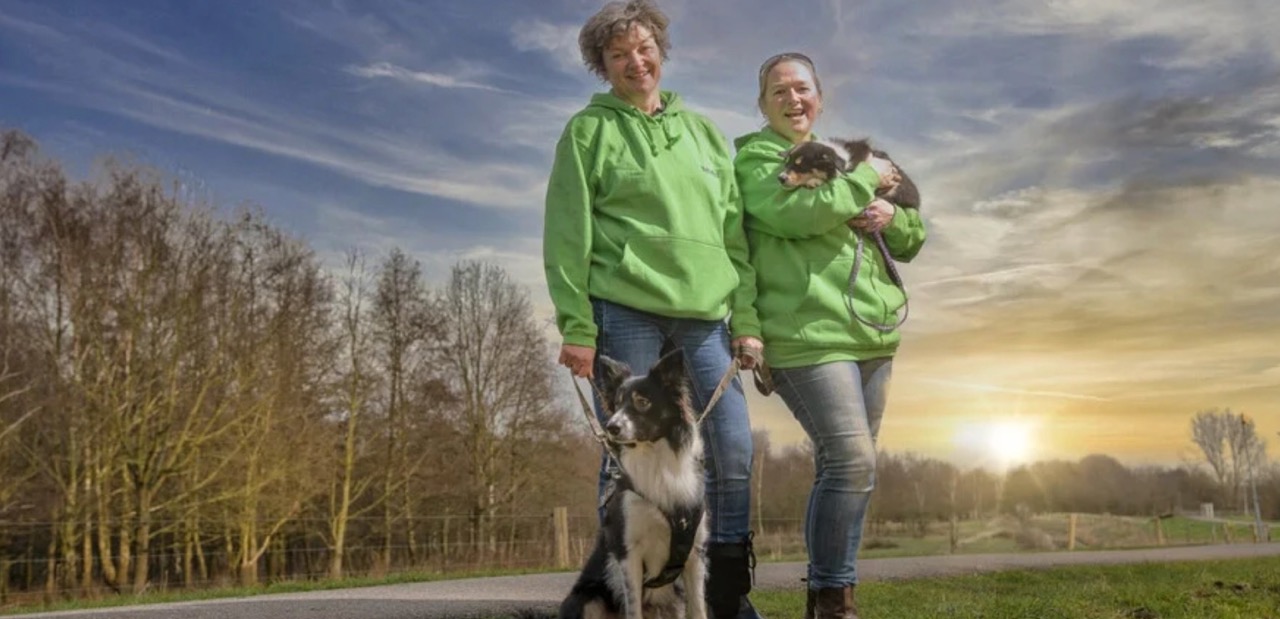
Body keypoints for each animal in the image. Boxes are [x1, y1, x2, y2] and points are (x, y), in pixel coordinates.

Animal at [560, 347, 711, 619]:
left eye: (643, 402)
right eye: (617, 404)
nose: (611, 427)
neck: (654, 457)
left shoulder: (695, 554)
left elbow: (699, 609)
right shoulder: (628, 553)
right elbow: (633, 609)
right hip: (588, 600)